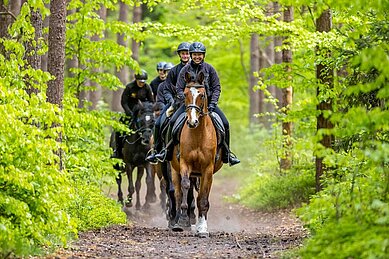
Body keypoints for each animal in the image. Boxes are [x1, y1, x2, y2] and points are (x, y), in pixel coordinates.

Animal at [169, 72, 221, 239]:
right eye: (185, 94)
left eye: (202, 95)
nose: (192, 122)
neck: (198, 135)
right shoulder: (185, 164)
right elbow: (185, 187)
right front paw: (183, 220)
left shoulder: (207, 169)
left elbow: (203, 199)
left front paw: (202, 228)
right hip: (175, 170)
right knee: (179, 194)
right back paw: (178, 221)